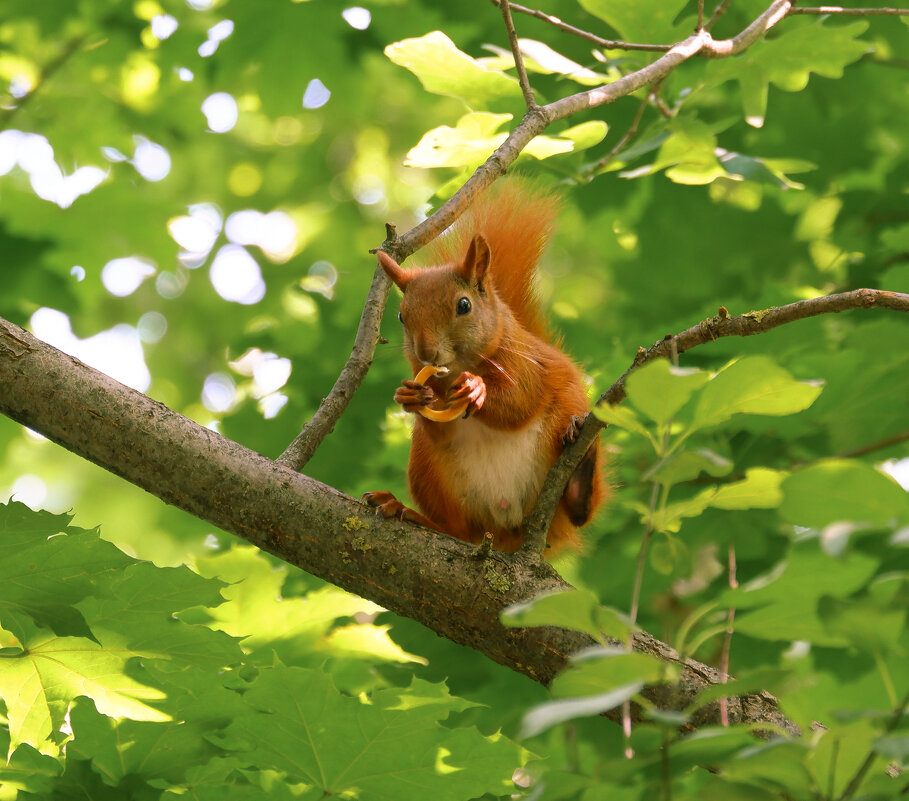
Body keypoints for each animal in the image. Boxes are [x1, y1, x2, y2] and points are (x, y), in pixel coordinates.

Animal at [362, 181, 604, 556]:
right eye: (402, 316)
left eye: (464, 305)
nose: (426, 353)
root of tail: (506, 532)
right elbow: (440, 428)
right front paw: (410, 396)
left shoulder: (527, 366)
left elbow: (519, 403)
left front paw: (477, 390)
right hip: (427, 471)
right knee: (458, 531)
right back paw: (404, 510)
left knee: (578, 512)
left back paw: (581, 465)